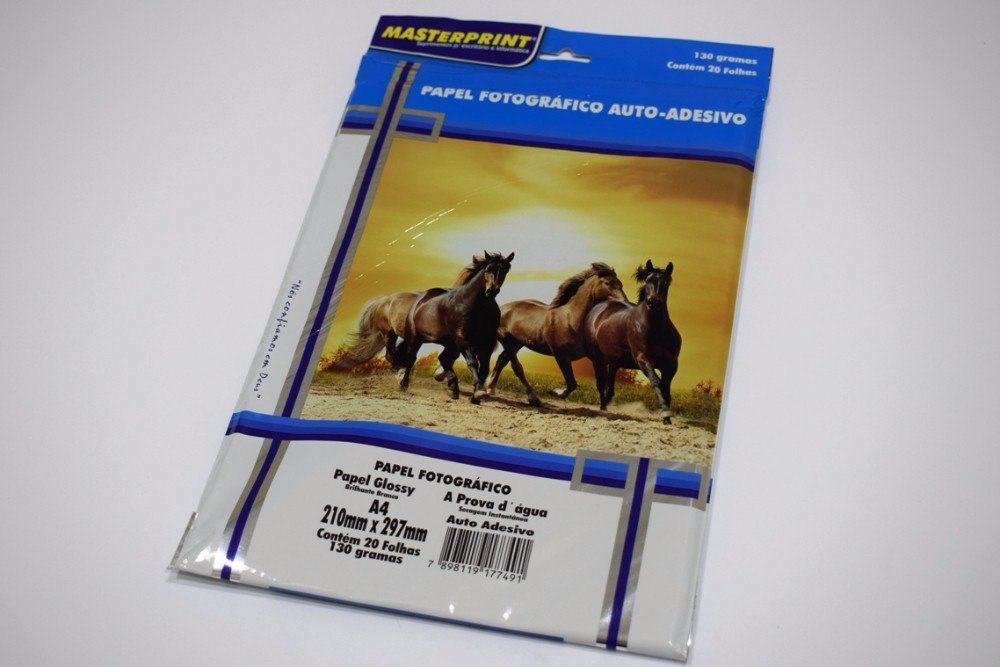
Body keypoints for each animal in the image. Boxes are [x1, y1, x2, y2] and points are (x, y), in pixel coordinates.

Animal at [397, 251, 515, 404]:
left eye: (504, 270)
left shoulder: (486, 342)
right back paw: (403, 385)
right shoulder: (462, 337)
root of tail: (420, 300)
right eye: (488, 270)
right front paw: (480, 391)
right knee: (411, 358)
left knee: (443, 358)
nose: (491, 291)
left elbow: (484, 368)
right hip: (416, 337)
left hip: (450, 343)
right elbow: (472, 362)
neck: (476, 306)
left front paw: (475, 396)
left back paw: (452, 388)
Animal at [485, 263, 626, 405]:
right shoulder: (561, 355)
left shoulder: (593, 355)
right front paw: (555, 392)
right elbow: (572, 383)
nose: (624, 302)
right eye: (607, 283)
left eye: (621, 284)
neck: (570, 319)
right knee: (516, 367)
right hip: (506, 340)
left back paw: (490, 387)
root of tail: (502, 308)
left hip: (517, 343)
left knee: (502, 360)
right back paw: (533, 397)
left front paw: (607, 399)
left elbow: (604, 379)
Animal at [584, 260, 681, 424]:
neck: (656, 330)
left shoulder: (671, 365)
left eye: (666, 282)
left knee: (610, 381)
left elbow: (666, 388)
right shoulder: (643, 359)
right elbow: (657, 382)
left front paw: (667, 418)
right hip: (597, 357)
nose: (653, 303)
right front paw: (666, 414)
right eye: (647, 280)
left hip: (614, 359)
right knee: (601, 381)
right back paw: (603, 406)